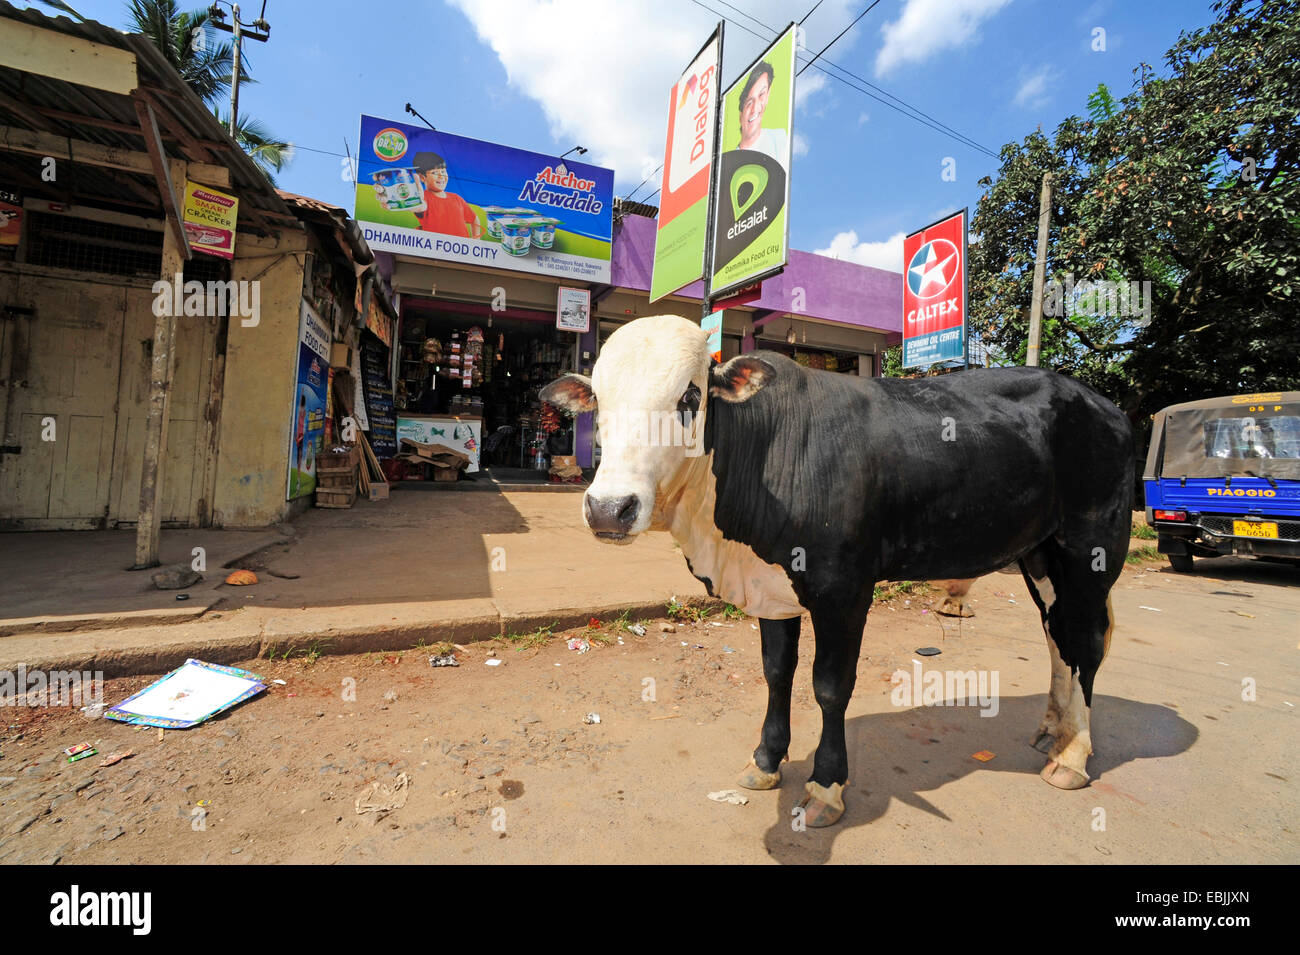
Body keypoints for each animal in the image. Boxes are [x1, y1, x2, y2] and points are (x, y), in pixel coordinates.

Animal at [538, 317, 1128, 826]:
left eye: (689, 396)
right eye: (599, 401)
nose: (609, 508)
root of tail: (1102, 403)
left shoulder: (843, 590)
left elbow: (829, 687)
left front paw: (825, 785)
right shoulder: (771, 584)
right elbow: (777, 673)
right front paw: (765, 761)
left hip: (1089, 550)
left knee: (1086, 641)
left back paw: (1073, 755)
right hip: (1039, 555)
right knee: (1058, 637)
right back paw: (1052, 730)